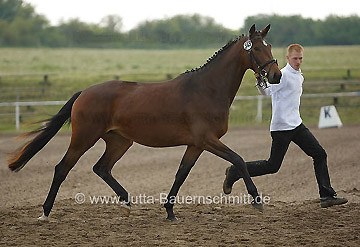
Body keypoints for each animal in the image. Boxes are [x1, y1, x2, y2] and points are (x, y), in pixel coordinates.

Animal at [7, 24, 280, 221]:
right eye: (257, 49)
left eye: (270, 47)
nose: (276, 75)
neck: (206, 89)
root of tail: (84, 92)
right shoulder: (207, 140)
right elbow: (238, 159)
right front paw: (256, 201)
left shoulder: (196, 144)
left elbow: (181, 173)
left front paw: (169, 211)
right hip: (84, 138)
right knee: (62, 168)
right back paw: (45, 213)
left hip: (119, 141)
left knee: (101, 168)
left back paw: (127, 203)